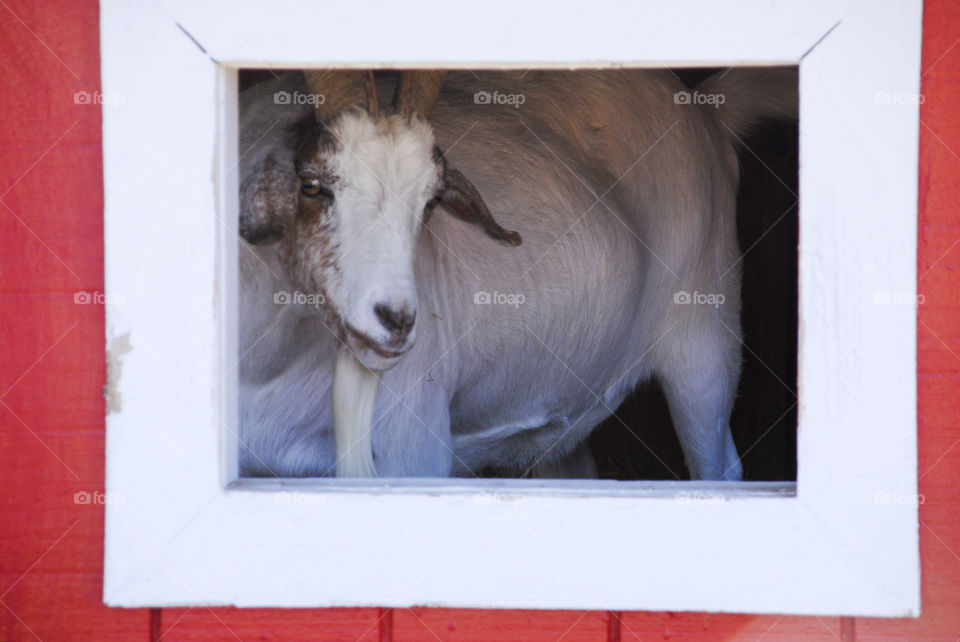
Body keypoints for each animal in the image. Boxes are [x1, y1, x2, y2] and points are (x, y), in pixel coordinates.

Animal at [238, 67, 796, 478]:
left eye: (430, 201)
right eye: (312, 185)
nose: (395, 320)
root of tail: (703, 109)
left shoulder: (412, 443)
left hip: (704, 343)